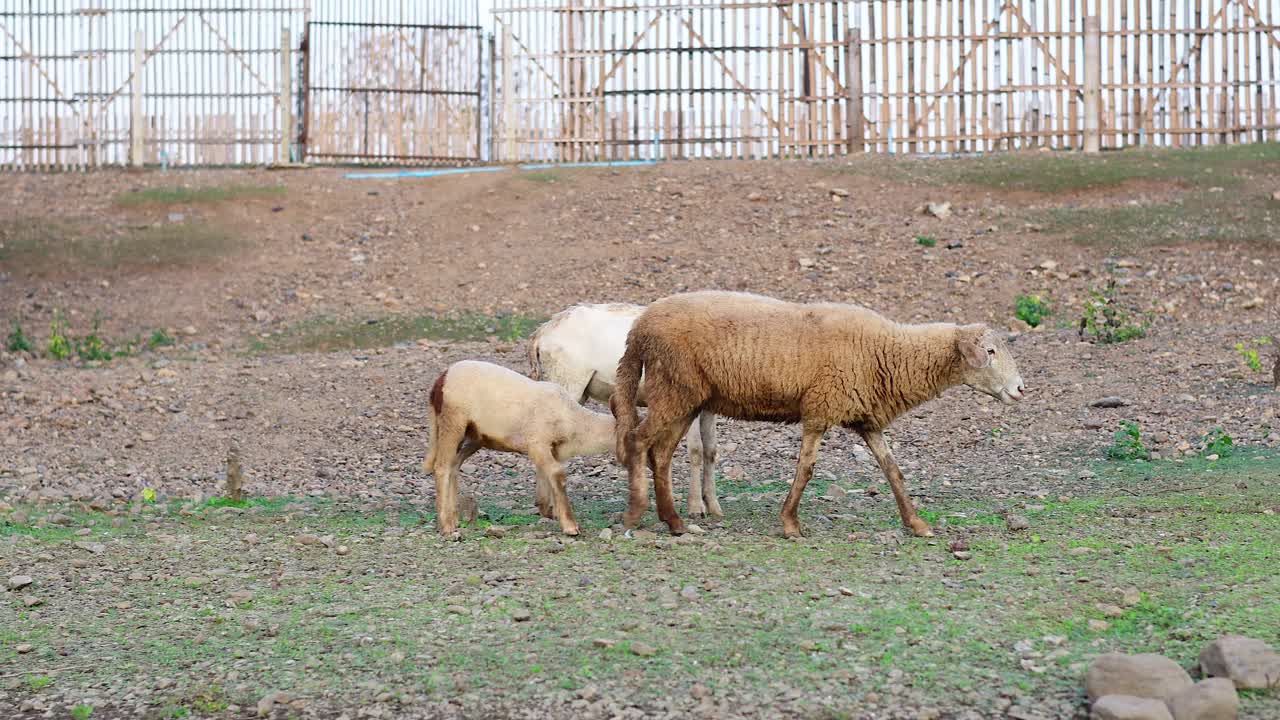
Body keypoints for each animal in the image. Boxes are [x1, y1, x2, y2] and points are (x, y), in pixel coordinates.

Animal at [422, 356, 616, 535]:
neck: (575, 421)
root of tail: (441, 379)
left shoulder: (551, 449)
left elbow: (546, 476)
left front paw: (549, 511)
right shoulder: (537, 443)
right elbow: (557, 474)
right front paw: (570, 526)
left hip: (474, 437)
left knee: (454, 465)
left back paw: (454, 518)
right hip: (453, 422)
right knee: (442, 467)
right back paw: (446, 526)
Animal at [519, 302, 721, 515]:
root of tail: (541, 332)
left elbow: (710, 449)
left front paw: (714, 506)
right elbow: (696, 450)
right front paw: (696, 507)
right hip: (566, 382)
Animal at [611, 288, 1029, 535]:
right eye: (990, 352)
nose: (1021, 389)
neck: (889, 351)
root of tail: (638, 328)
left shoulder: (865, 419)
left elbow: (893, 471)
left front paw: (916, 523)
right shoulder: (819, 408)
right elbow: (806, 470)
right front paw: (790, 524)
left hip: (684, 398)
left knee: (661, 454)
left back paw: (674, 521)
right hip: (674, 389)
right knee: (637, 441)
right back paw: (637, 513)